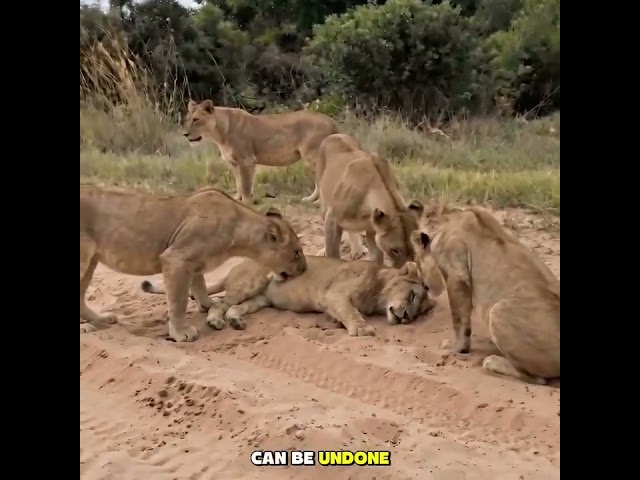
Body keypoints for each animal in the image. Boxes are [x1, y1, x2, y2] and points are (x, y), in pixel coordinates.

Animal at [80, 185, 307, 342]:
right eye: (296, 253)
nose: (305, 269)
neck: (237, 231)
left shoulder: (194, 262)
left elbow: (200, 284)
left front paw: (207, 305)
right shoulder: (176, 258)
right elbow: (179, 300)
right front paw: (182, 332)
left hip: (90, 262)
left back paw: (100, 319)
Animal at [140, 255, 435, 337]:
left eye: (418, 312)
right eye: (412, 296)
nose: (406, 317)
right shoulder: (335, 295)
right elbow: (352, 312)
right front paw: (362, 329)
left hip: (259, 300)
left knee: (235, 308)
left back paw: (236, 321)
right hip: (251, 282)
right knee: (219, 304)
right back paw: (215, 321)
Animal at [182, 99, 339, 203]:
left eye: (196, 119)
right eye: (187, 119)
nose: (184, 134)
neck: (219, 134)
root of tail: (331, 120)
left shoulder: (246, 161)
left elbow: (245, 185)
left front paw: (245, 203)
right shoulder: (235, 164)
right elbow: (239, 183)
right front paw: (237, 199)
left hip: (312, 157)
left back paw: (317, 201)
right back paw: (310, 199)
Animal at [315, 133, 424, 267]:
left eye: (413, 249)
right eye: (394, 250)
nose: (408, 266)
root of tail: (335, 134)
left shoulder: (373, 229)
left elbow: (376, 258)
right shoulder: (332, 218)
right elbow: (333, 254)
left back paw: (357, 250)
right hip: (324, 201)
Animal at [410, 205, 560, 384]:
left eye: (417, 261)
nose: (422, 283)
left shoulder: (456, 274)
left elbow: (458, 320)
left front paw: (457, 348)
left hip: (497, 311)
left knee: (537, 378)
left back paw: (493, 361)